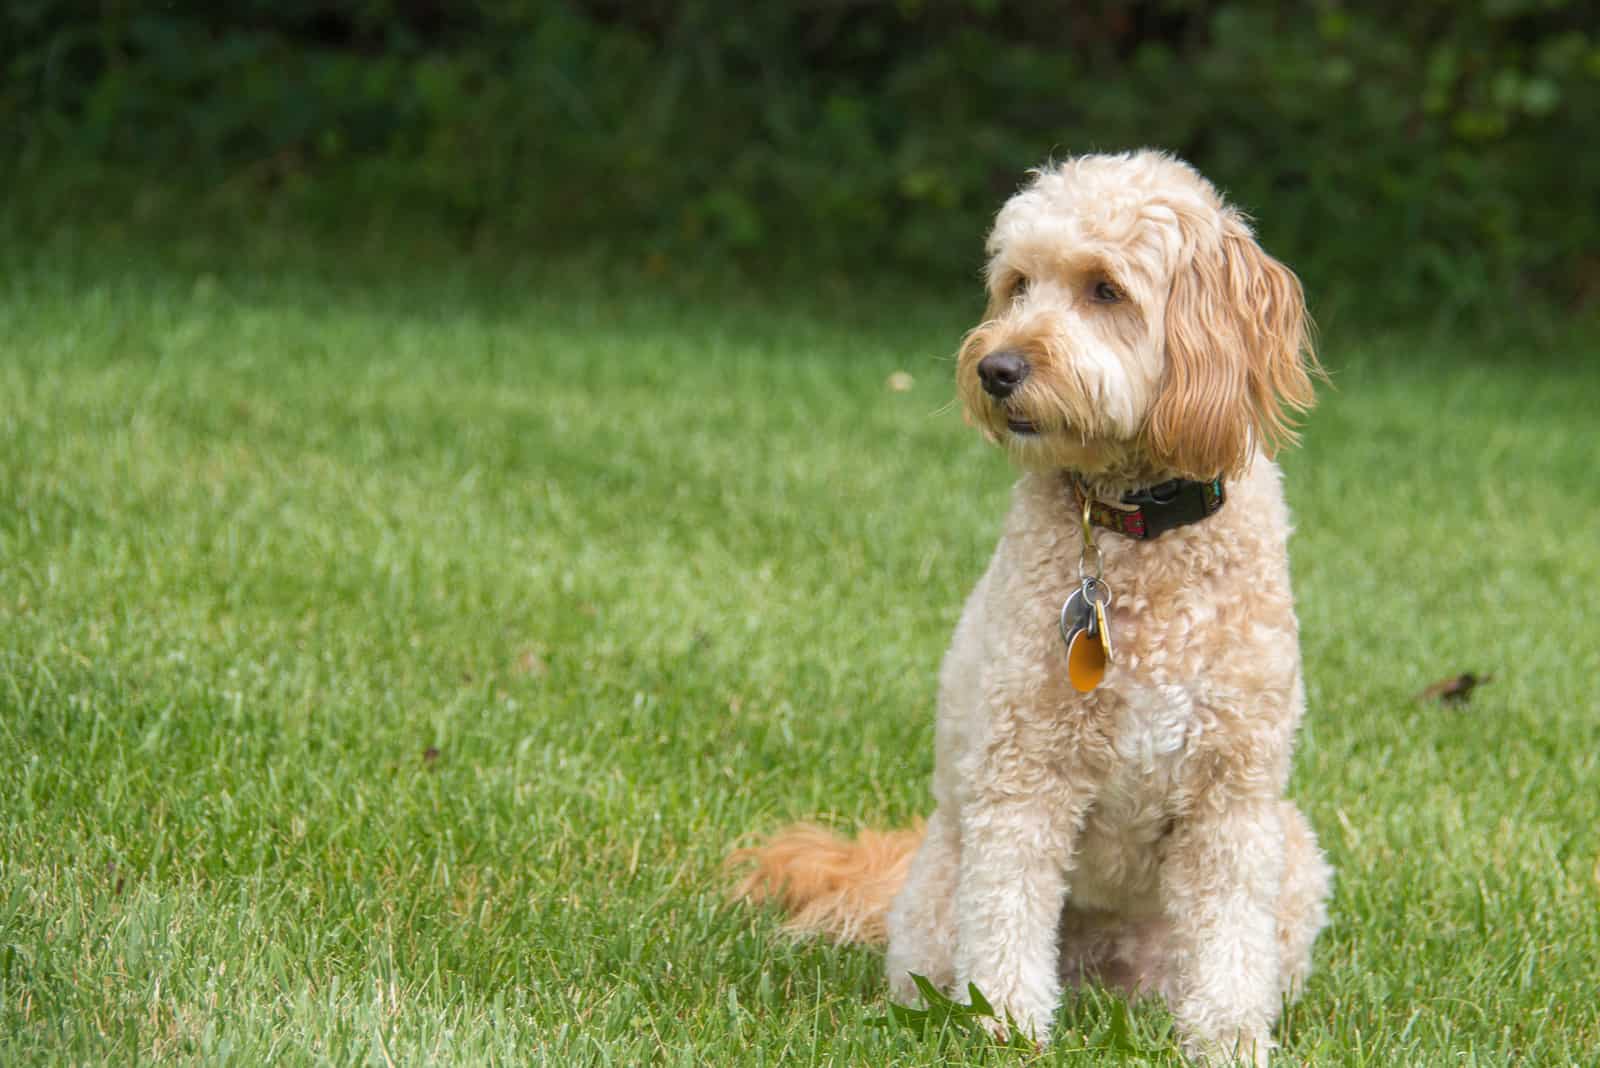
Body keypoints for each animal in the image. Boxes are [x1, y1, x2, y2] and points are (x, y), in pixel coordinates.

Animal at [732, 151, 1331, 1068]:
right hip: (938, 894)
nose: (995, 368)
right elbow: (1008, 912)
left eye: (1106, 289)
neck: (1132, 528)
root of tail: (1100, 978)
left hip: (1294, 851)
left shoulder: (1233, 793)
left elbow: (1231, 936)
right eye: (1017, 285)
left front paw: (1229, 1038)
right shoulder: (1024, 775)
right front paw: (1007, 1028)